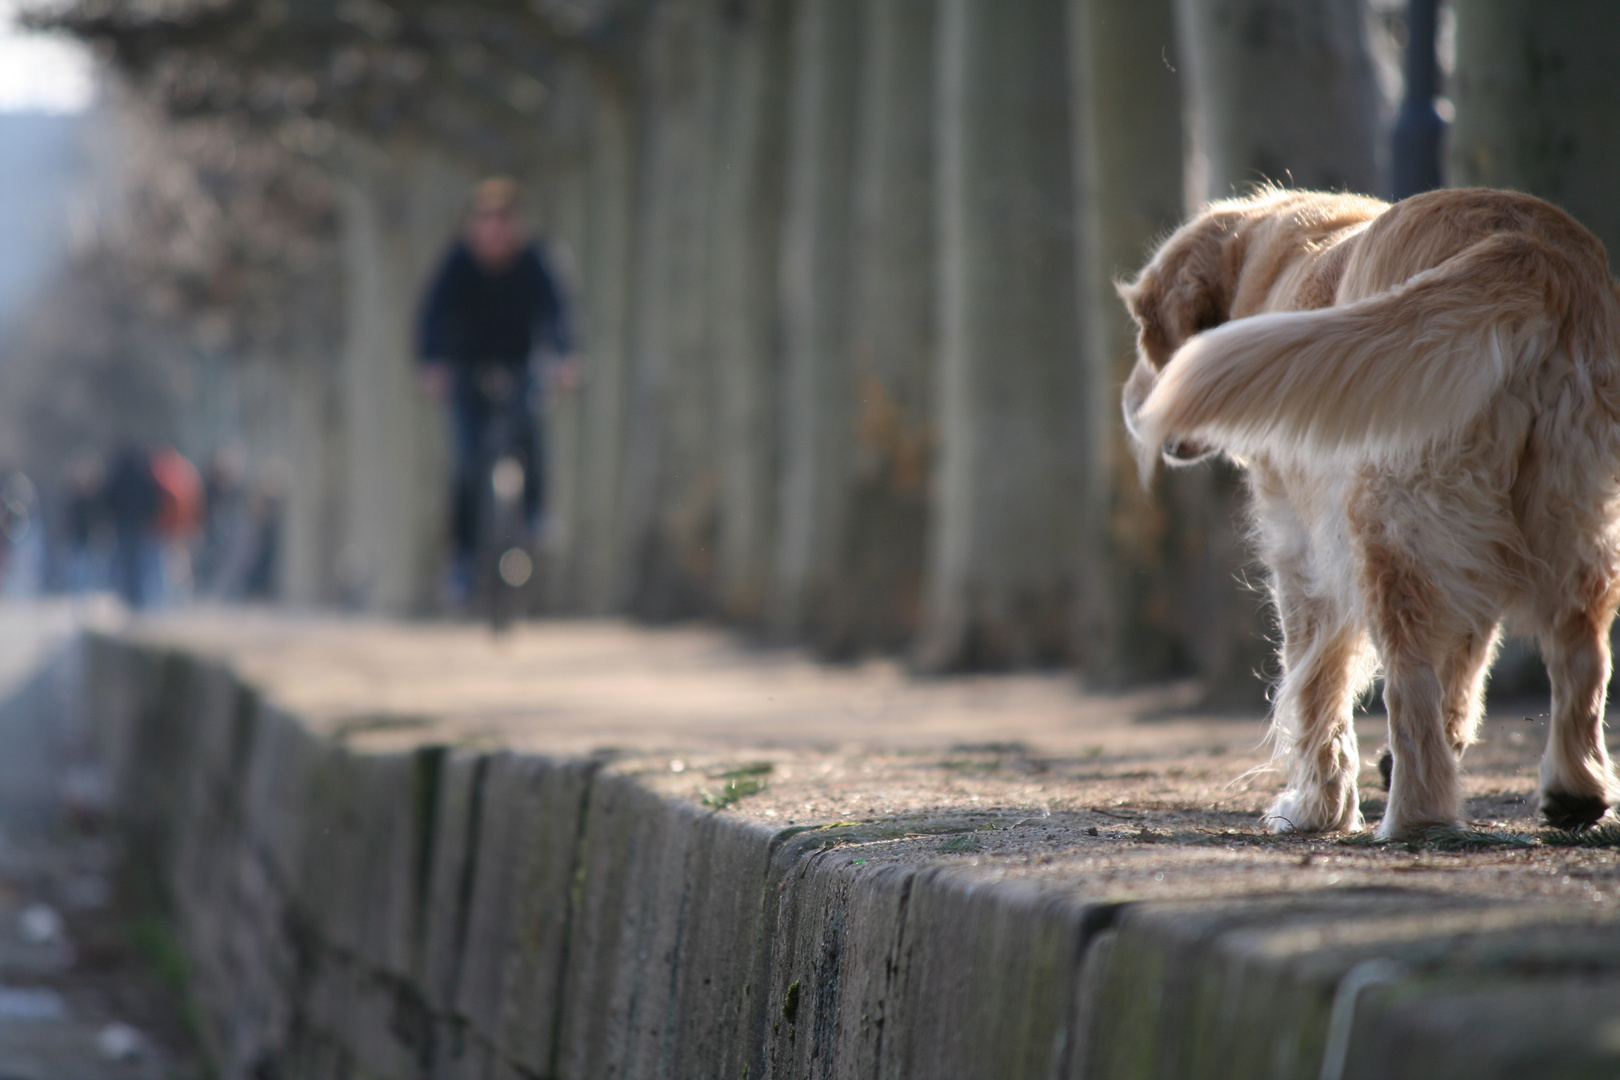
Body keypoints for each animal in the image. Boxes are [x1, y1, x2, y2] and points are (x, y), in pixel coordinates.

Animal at [1121, 186, 1620, 841]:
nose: (1131, 407)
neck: (1270, 261)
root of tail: (1524, 245)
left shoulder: (1300, 543)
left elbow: (1314, 681)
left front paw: (1315, 806)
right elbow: (1466, 657)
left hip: (1384, 521)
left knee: (1408, 684)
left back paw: (1414, 815)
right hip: (1573, 516)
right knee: (1583, 658)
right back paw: (1575, 790)